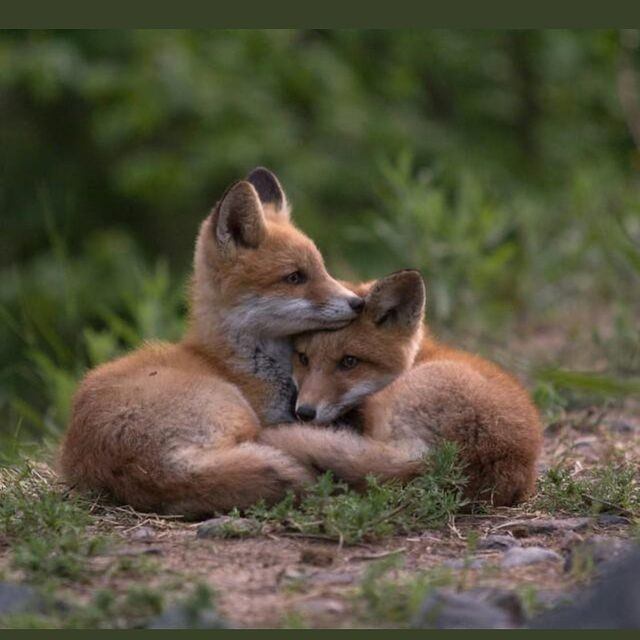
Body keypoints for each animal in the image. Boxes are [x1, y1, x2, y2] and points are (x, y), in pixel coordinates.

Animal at [60, 168, 366, 518]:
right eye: (295, 277)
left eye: (323, 268)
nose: (359, 303)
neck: (237, 362)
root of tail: (150, 470)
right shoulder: (267, 418)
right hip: (238, 413)